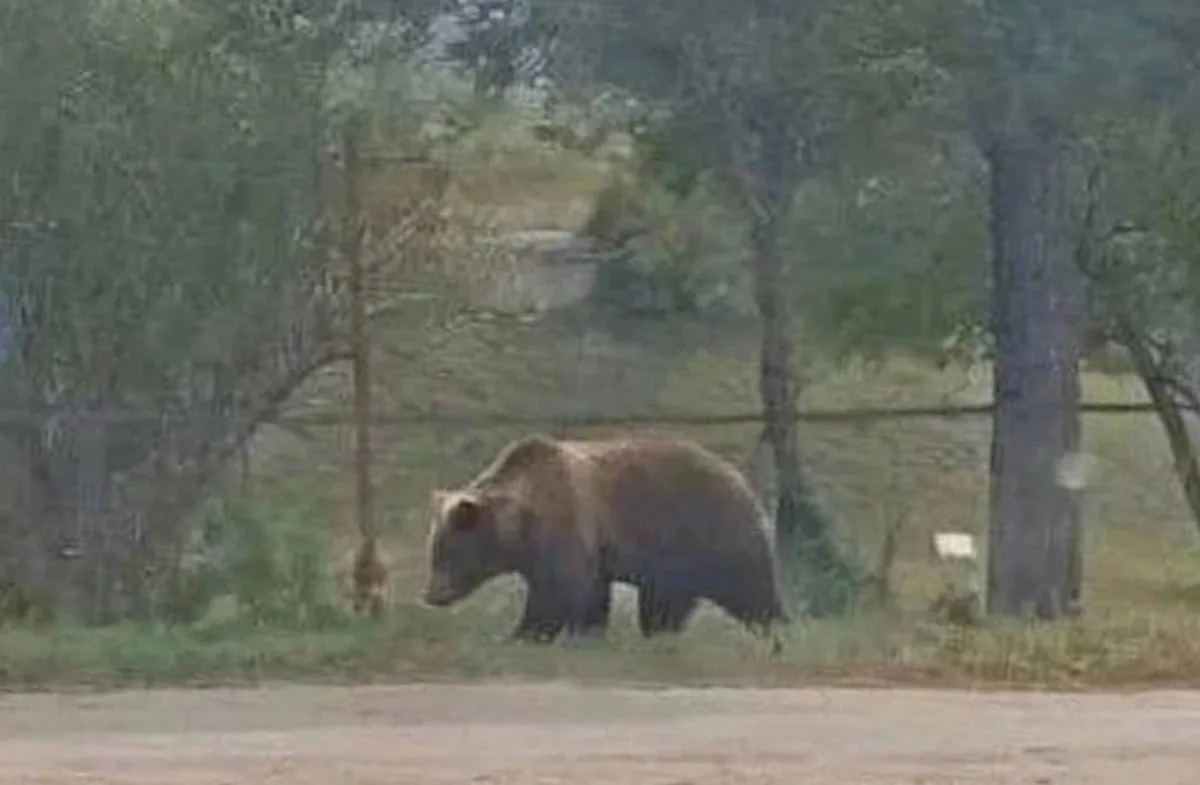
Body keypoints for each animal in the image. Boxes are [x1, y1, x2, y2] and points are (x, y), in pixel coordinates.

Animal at [421, 431, 790, 647]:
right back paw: (659, 637)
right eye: (434, 551)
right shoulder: (591, 549)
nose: (433, 595)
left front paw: (524, 635)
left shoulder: (566, 524)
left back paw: (776, 632)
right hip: (672, 560)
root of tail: (741, 478)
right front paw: (588, 635)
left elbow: (558, 591)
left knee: (751, 592)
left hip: (712, 533)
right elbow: (592, 596)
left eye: (448, 552)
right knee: (664, 602)